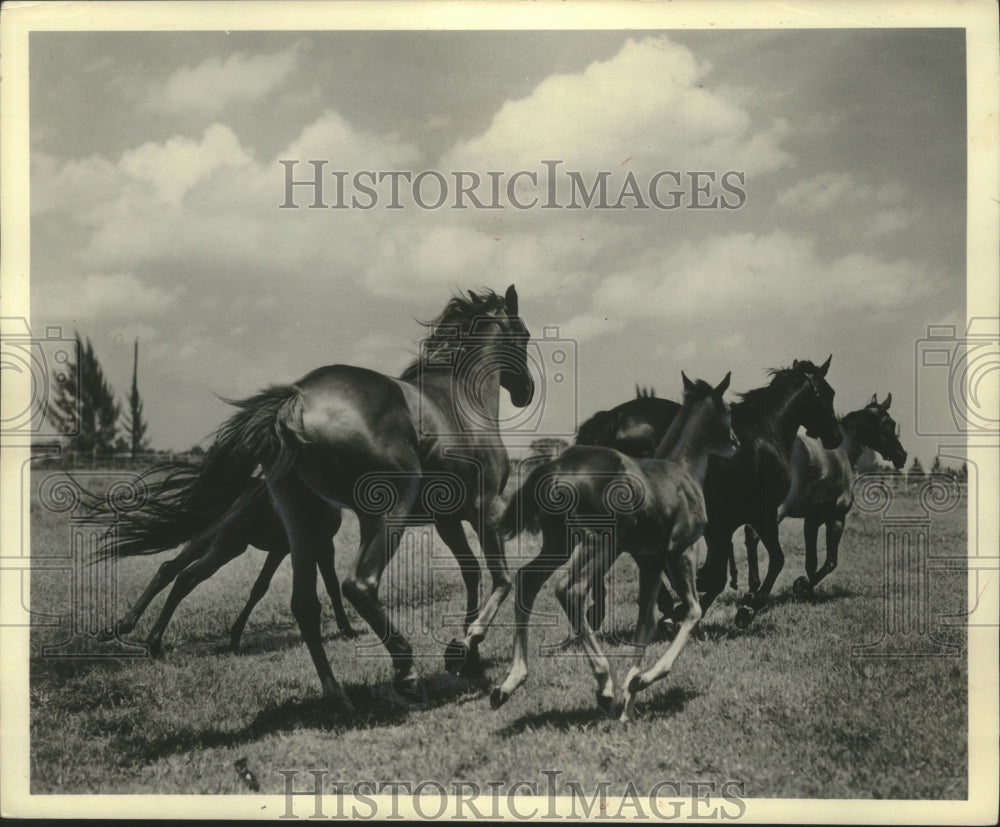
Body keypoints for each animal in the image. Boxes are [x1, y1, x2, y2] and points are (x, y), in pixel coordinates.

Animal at [103, 284, 532, 712]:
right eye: (524, 335)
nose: (526, 391)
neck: (461, 401)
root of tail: (296, 401)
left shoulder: (448, 519)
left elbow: (472, 574)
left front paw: (466, 656)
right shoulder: (484, 509)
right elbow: (501, 580)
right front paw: (466, 646)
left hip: (298, 522)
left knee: (303, 603)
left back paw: (337, 695)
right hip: (382, 514)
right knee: (358, 585)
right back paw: (405, 674)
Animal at [488, 372, 740, 720]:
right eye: (727, 410)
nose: (736, 442)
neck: (682, 470)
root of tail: (555, 468)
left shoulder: (650, 561)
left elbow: (646, 621)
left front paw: (629, 700)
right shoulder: (682, 552)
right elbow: (692, 611)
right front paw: (643, 680)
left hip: (560, 544)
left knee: (528, 580)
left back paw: (509, 683)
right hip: (600, 544)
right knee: (570, 590)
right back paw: (603, 683)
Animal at [744, 392, 908, 600]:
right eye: (886, 424)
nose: (902, 455)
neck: (842, 451)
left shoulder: (811, 520)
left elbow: (811, 562)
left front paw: (805, 588)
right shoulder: (836, 518)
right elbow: (830, 562)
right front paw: (802, 585)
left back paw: (751, 587)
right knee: (756, 538)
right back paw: (756, 592)